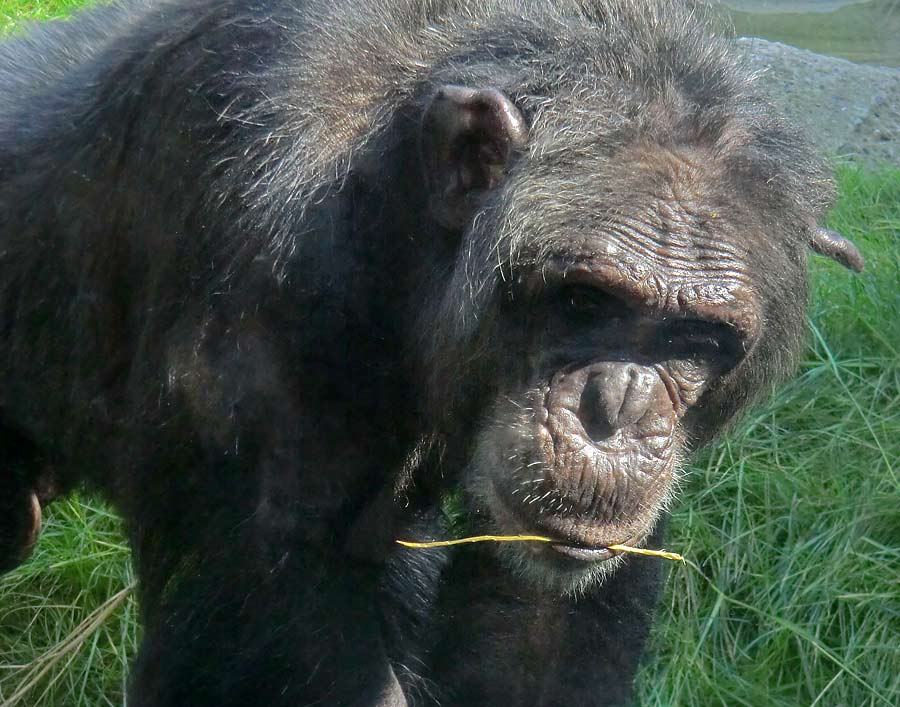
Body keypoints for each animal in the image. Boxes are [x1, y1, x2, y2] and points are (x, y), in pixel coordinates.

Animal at [0, 1, 860, 707]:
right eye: (584, 298)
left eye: (697, 337)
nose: (615, 409)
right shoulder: (252, 226)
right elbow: (272, 604)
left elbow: (541, 626)